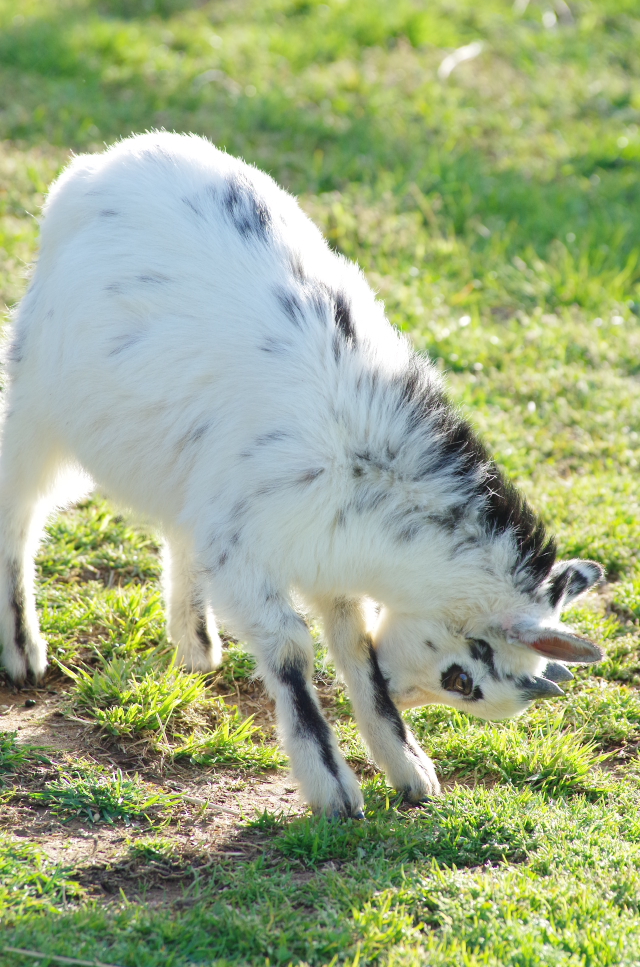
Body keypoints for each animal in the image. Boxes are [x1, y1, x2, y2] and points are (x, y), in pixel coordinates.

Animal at [0, 134, 604, 816]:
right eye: (463, 680)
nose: (407, 690)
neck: (365, 460)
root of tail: (103, 162)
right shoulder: (246, 553)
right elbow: (291, 650)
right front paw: (334, 791)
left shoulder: (325, 557)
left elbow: (356, 645)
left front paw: (409, 769)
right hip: (37, 396)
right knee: (20, 509)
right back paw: (23, 651)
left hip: (187, 473)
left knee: (179, 530)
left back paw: (196, 647)